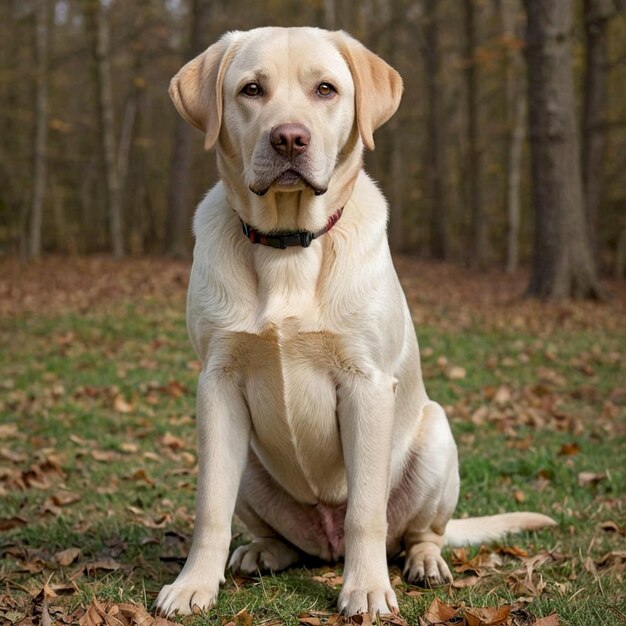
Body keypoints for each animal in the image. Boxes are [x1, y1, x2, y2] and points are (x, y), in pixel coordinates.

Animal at [154, 25, 552, 616]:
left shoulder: (366, 386)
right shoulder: (217, 384)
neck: (290, 243)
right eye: (251, 89)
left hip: (436, 439)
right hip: (252, 464)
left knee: (416, 531)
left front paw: (365, 589)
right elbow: (209, 508)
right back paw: (261, 551)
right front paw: (192, 585)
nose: (289, 139)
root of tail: (327, 543)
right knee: (280, 536)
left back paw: (424, 563)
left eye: (326, 89)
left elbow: (366, 511)